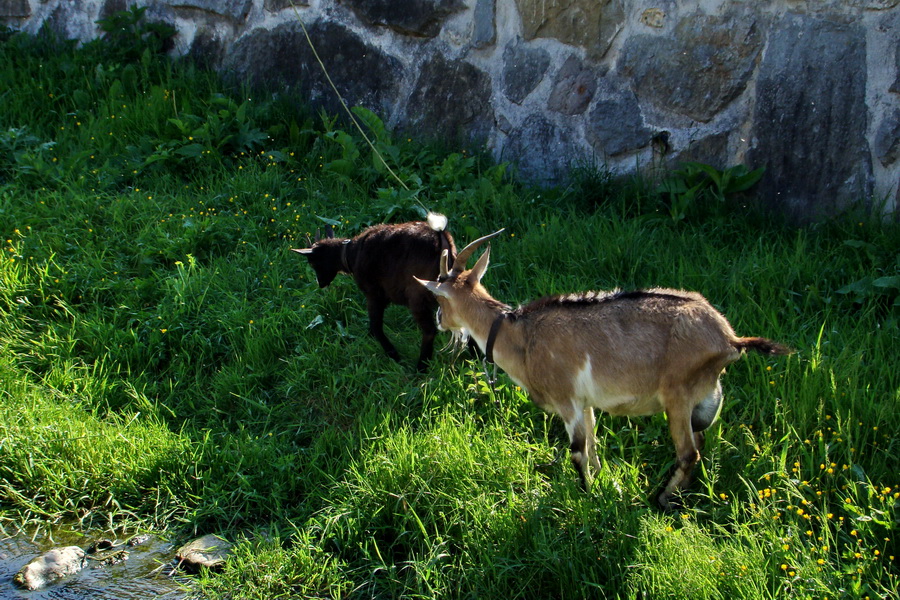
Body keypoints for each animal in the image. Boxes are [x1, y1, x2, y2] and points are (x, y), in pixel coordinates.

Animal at [294, 211, 454, 370]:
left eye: (312, 263)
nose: (320, 283)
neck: (350, 253)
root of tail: (440, 237)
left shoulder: (373, 295)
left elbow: (375, 326)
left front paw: (393, 355)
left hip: (417, 295)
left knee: (429, 331)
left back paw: (421, 367)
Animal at [414, 232, 788, 508]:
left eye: (439, 298)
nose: (439, 320)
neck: (519, 335)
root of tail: (729, 339)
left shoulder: (566, 400)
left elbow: (578, 451)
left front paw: (587, 495)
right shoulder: (585, 403)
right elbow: (594, 445)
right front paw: (608, 484)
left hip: (678, 395)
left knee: (688, 453)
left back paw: (661, 499)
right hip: (704, 398)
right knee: (700, 442)